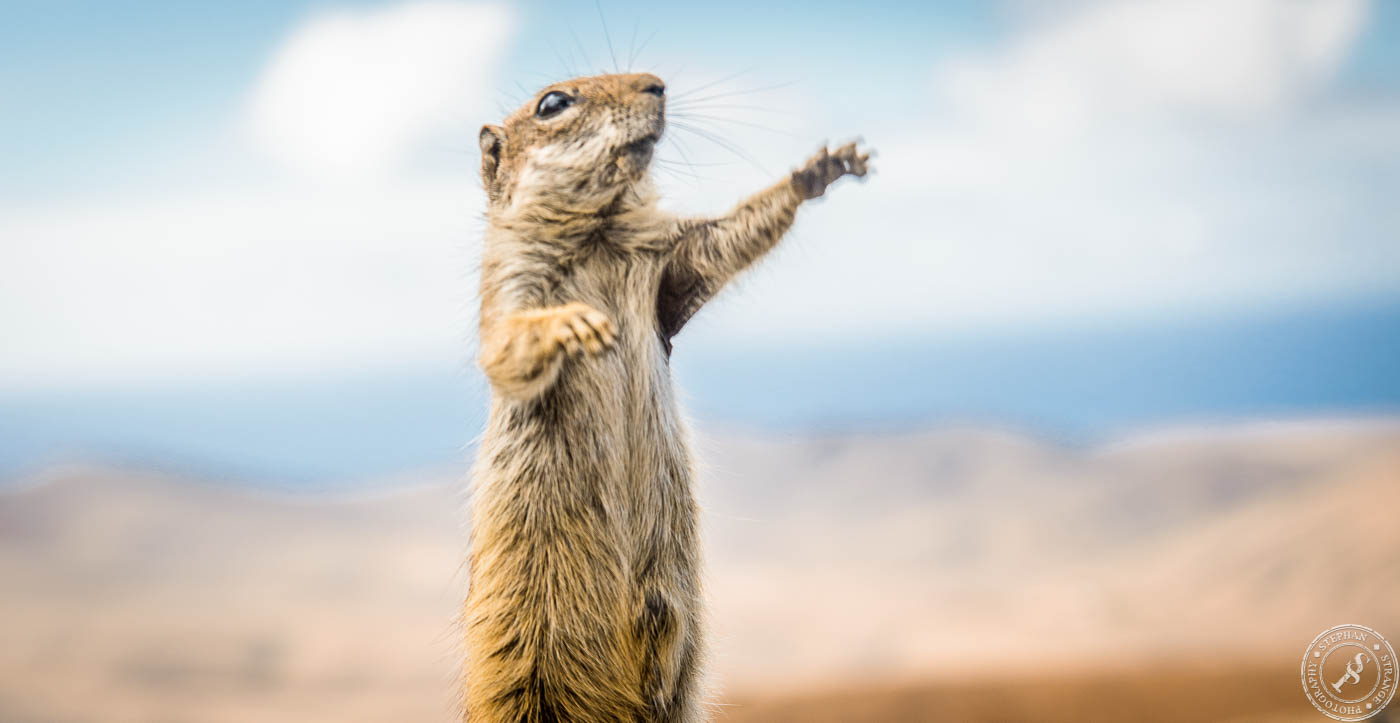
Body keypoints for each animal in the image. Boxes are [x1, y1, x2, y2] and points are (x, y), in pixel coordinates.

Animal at [463, 71, 870, 722]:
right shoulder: (509, 283)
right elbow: (505, 345)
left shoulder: (671, 266)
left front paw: (818, 170)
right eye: (552, 103)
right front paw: (573, 324)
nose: (657, 84)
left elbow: (721, 241)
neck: (600, 233)